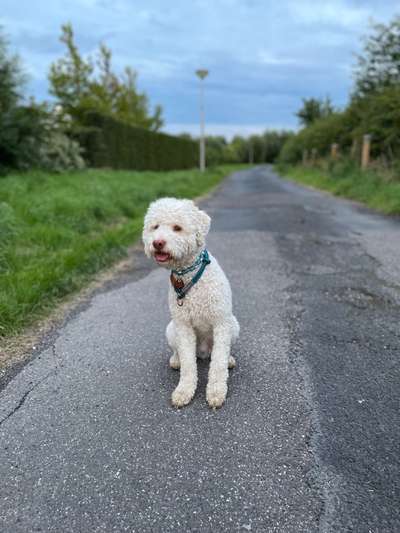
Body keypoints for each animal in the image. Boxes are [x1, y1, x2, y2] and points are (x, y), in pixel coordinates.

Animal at [142, 196, 239, 408]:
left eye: (177, 228)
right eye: (155, 226)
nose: (157, 242)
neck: (189, 275)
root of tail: (202, 352)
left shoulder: (221, 322)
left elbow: (218, 363)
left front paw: (216, 392)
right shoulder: (183, 326)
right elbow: (188, 364)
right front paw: (184, 391)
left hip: (233, 325)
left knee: (221, 353)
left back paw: (229, 359)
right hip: (171, 330)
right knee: (180, 353)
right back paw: (175, 360)